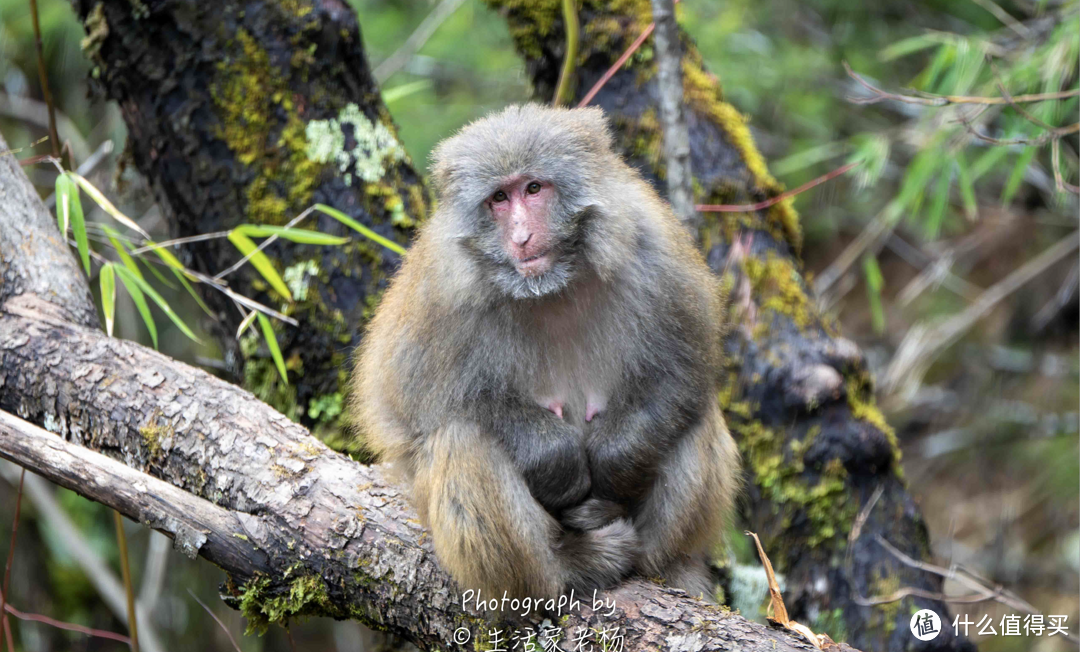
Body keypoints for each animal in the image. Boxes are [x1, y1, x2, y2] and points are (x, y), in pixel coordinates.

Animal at [354, 103, 743, 600]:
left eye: (534, 188)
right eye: (499, 198)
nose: (520, 236)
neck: (551, 286)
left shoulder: (654, 252)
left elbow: (684, 367)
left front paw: (612, 465)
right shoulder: (436, 291)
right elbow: (404, 409)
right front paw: (557, 460)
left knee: (694, 415)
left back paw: (665, 564)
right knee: (461, 440)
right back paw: (571, 565)